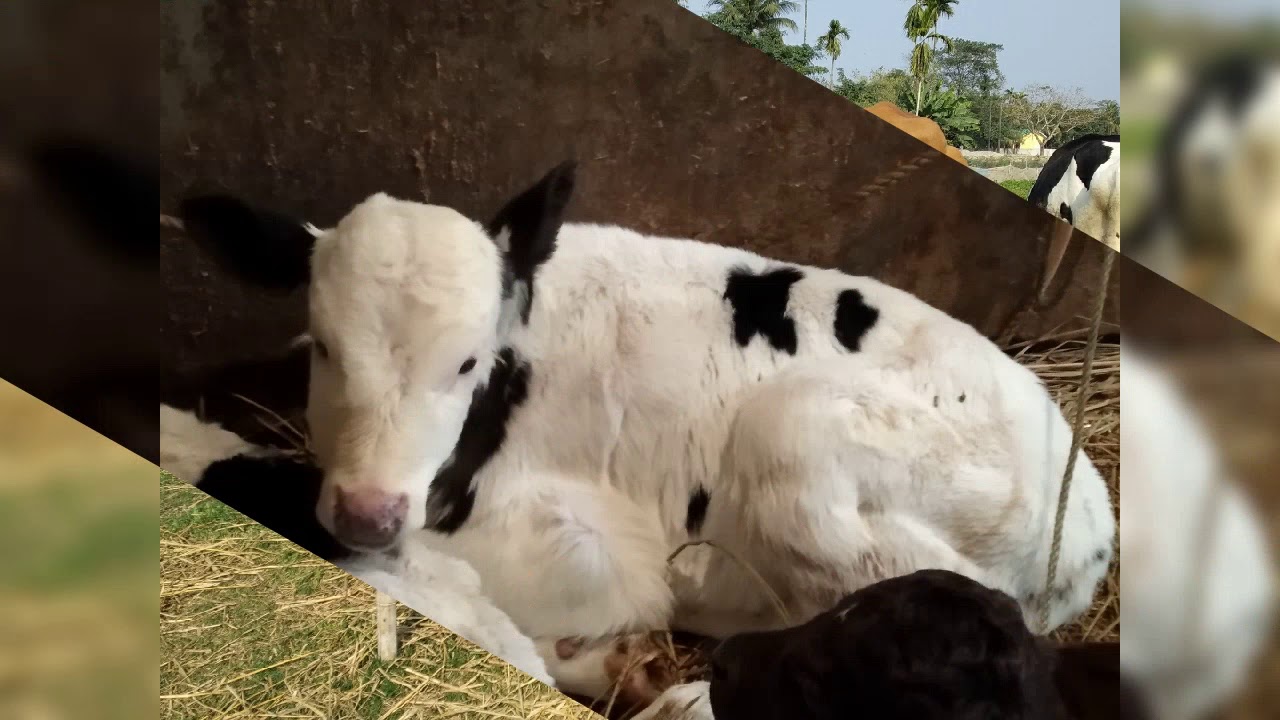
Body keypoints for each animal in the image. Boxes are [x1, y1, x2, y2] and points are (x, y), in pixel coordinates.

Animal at [163, 161, 1116, 700]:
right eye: (324, 344)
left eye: (468, 363)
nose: (368, 513)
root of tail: (1092, 515)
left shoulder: (586, 543)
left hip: (804, 439)